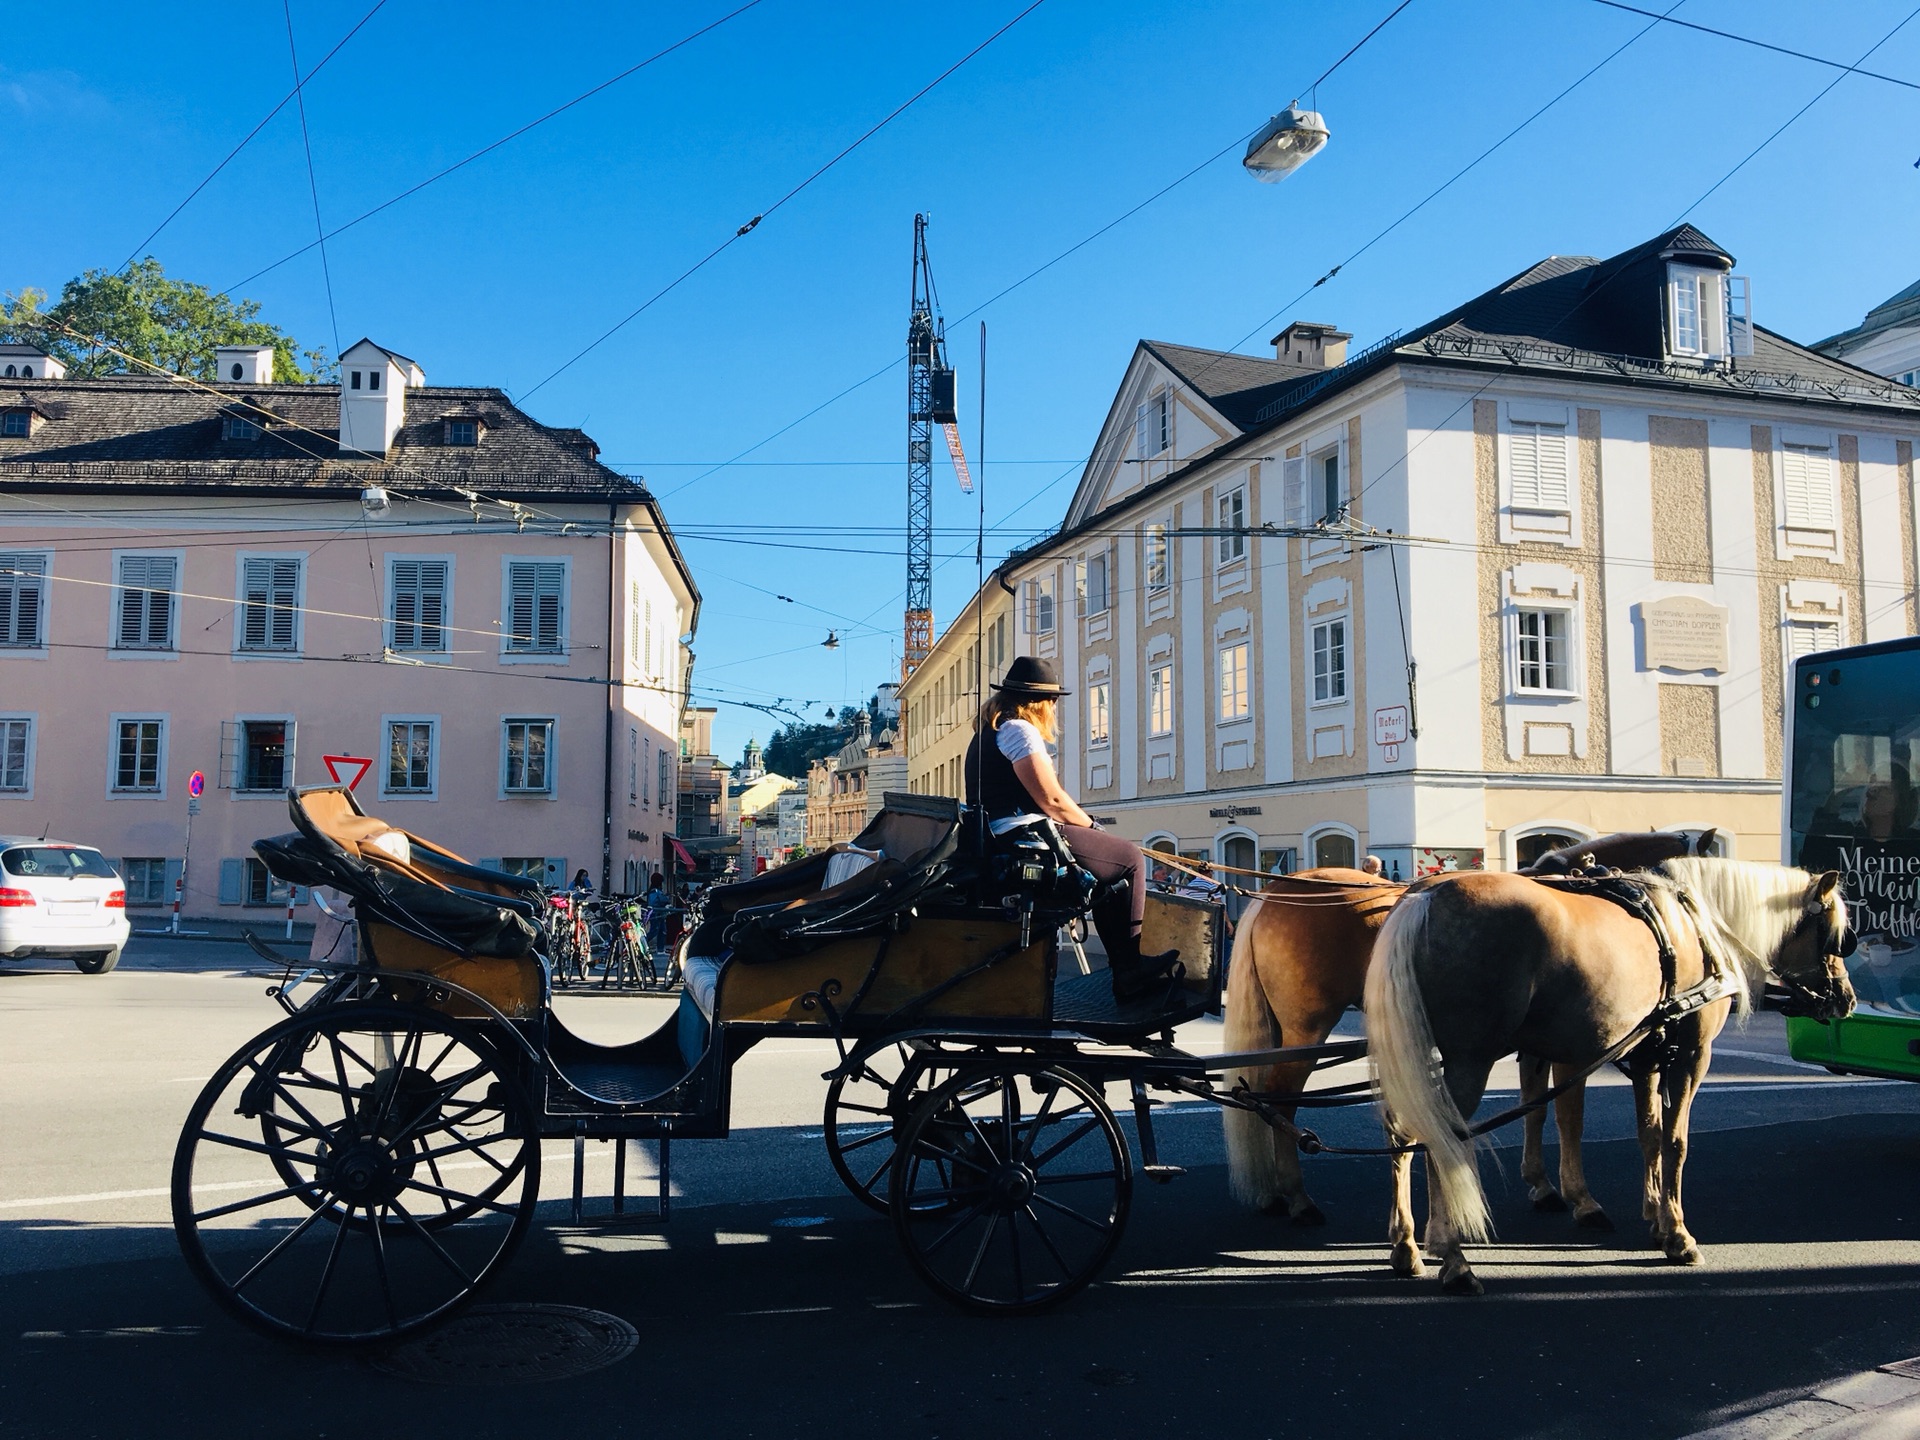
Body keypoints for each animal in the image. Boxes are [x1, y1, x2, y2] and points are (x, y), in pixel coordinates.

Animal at [1221, 833, 1704, 1228]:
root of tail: (1273, 892)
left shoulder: (1535, 1046)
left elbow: (1534, 1107)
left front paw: (1542, 1184)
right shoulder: (1569, 1046)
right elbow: (1567, 1116)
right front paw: (1578, 1198)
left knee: (1261, 1095)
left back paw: (1274, 1194)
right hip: (1307, 1029)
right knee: (1281, 1100)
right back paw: (1298, 1198)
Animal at [1374, 864, 1850, 1305]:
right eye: (1833, 937)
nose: (1845, 998)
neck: (1696, 925)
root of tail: (1423, 894)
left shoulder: (1647, 1058)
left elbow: (1650, 1135)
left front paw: (1657, 1216)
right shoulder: (1692, 1057)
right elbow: (1675, 1142)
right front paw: (1678, 1235)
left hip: (1417, 1054)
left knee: (1404, 1133)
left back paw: (1407, 1246)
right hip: (1470, 1060)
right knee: (1444, 1138)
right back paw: (1455, 1262)